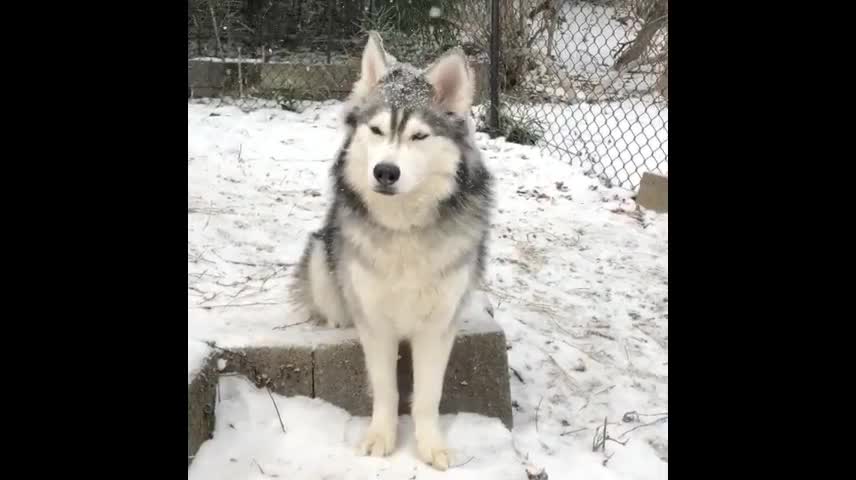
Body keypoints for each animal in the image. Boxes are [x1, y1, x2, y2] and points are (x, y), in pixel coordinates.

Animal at [290, 31, 494, 470]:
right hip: (321, 253)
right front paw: (381, 438)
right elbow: (385, 389)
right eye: (377, 130)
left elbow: (429, 395)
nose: (385, 171)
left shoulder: (437, 326)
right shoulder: (376, 322)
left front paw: (430, 445)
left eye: (419, 136)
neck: (404, 229)